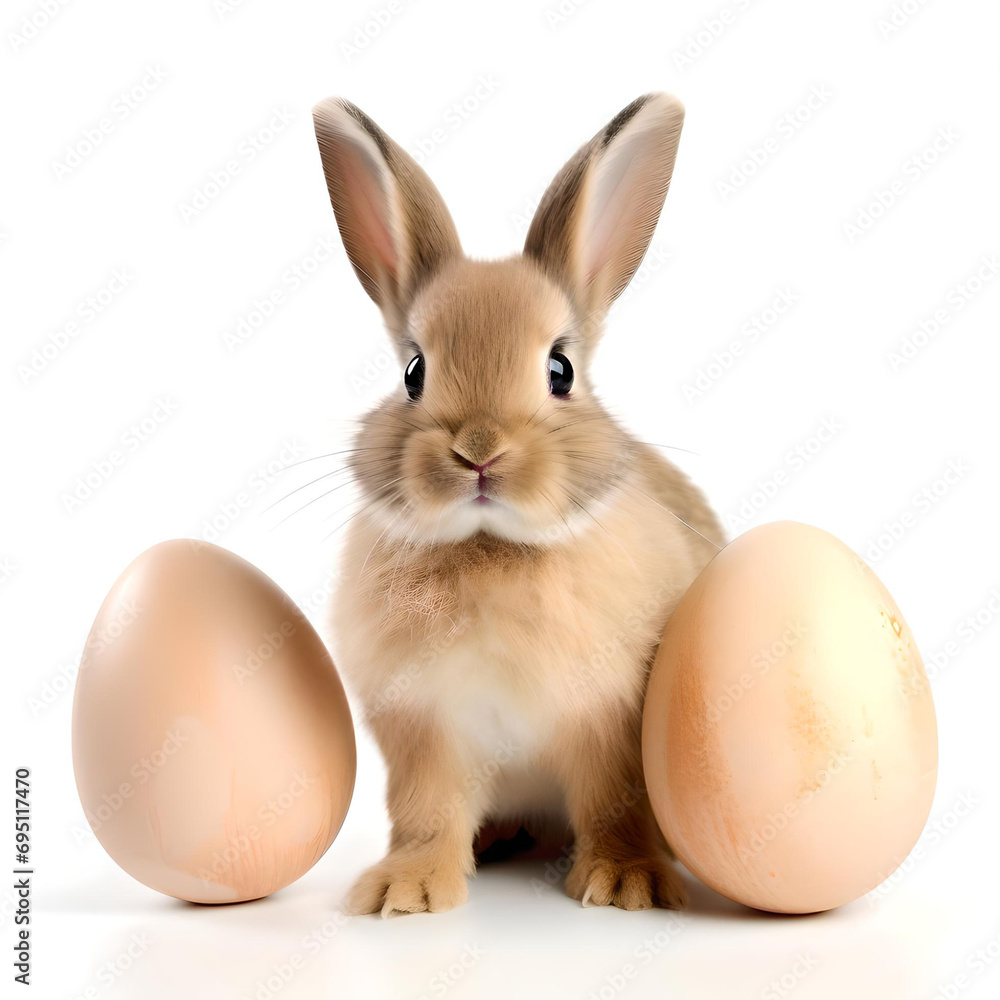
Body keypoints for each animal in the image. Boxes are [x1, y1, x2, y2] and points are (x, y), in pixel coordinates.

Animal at [312, 92, 724, 915]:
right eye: (413, 372)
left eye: (559, 369)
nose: (480, 451)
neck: (490, 547)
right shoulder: (424, 732)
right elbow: (426, 814)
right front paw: (404, 892)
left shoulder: (609, 723)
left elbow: (614, 804)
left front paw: (623, 883)